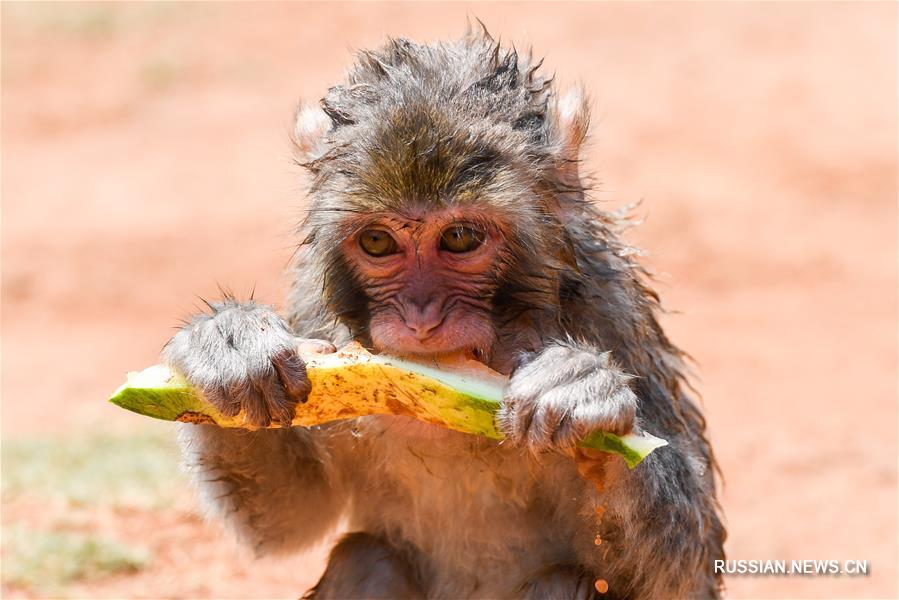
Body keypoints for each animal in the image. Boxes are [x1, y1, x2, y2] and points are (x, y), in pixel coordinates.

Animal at [162, 27, 724, 600]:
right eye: (378, 242)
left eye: (459, 238)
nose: (421, 317)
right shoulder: (310, 313)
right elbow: (289, 517)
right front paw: (230, 345)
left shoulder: (612, 309)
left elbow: (687, 571)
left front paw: (580, 390)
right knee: (367, 557)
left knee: (565, 581)